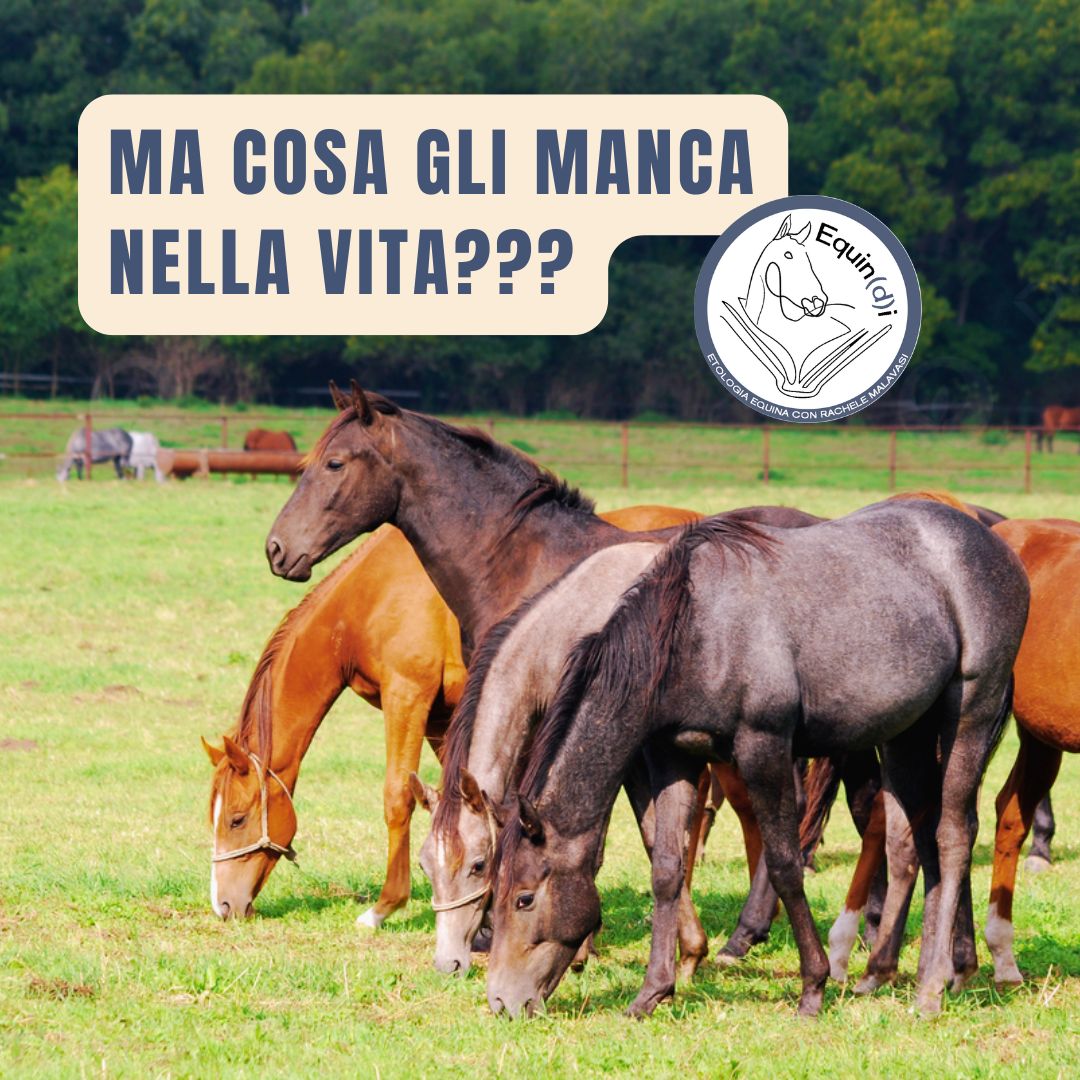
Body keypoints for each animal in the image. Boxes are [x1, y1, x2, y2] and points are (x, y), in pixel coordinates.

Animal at [203, 505, 702, 927]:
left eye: (237, 820)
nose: (223, 905)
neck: (373, 594)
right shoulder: (442, 718)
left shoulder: (408, 698)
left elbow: (398, 796)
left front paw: (386, 906)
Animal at [486, 503, 1028, 1018]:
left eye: (524, 898)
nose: (501, 1003)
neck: (695, 631)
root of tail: (995, 548)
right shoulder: (673, 758)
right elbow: (666, 869)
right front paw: (651, 992)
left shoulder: (762, 747)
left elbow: (786, 863)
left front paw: (813, 986)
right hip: (908, 736)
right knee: (921, 838)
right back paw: (933, 970)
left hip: (969, 715)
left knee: (954, 836)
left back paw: (931, 988)